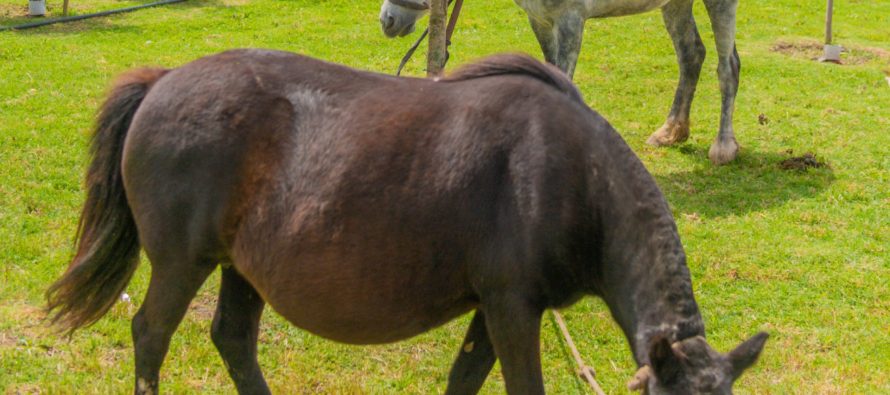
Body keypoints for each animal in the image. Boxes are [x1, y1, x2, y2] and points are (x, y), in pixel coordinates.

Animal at [46, 51, 764, 394]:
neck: (571, 174)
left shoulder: (494, 307)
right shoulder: (511, 306)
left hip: (242, 268)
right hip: (182, 262)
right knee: (151, 335)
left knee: (233, 340)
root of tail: (165, 80)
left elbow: (464, 380)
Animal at [380, 0, 744, 165]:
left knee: (728, 67)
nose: (387, 20)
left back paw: (724, 147)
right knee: (691, 55)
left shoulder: (571, 18)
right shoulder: (540, 19)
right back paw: (671, 131)